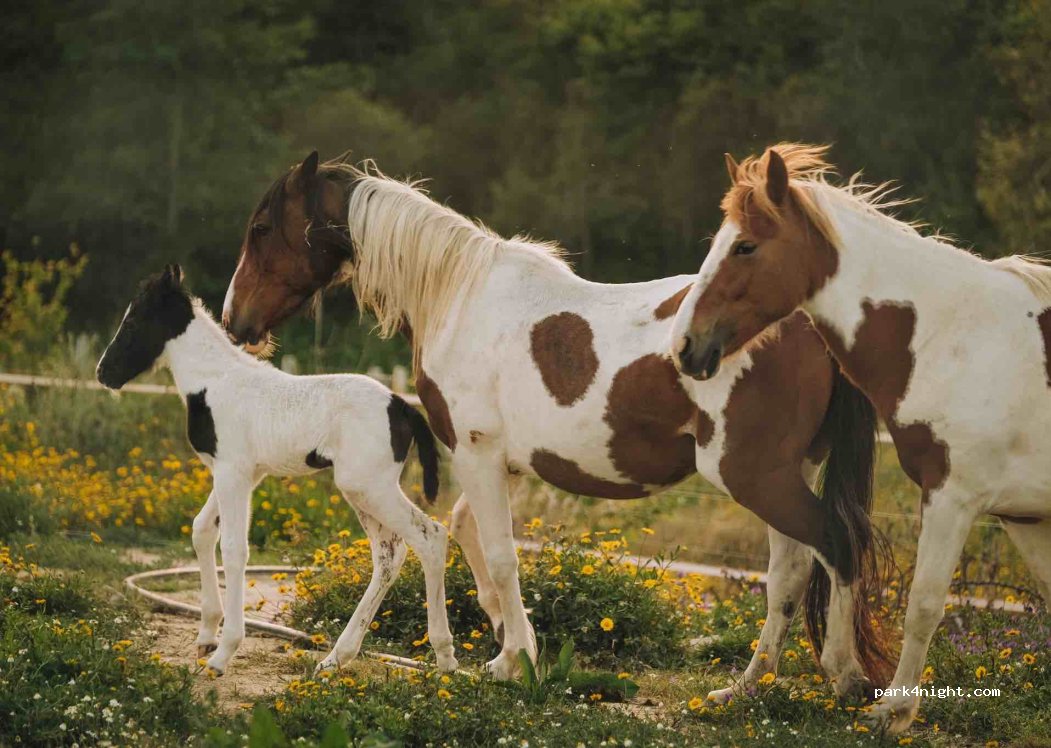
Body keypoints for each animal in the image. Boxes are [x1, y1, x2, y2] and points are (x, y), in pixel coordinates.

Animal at [96, 265, 458, 676]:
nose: (104, 373)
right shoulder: (242, 473)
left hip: (369, 488)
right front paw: (205, 636)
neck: (214, 382)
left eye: (134, 320)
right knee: (388, 555)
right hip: (363, 492)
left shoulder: (232, 473)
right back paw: (336, 659)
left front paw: (223, 654)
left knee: (430, 538)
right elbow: (202, 531)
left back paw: (445, 658)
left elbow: (234, 548)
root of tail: (403, 407)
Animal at [221, 151, 891, 700]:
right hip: (788, 471)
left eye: (261, 229)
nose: (234, 321)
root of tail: (810, 324)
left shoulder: (476, 454)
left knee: (835, 545)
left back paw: (845, 677)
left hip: (754, 475)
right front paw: (508, 650)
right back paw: (747, 686)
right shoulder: (504, 465)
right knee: (790, 572)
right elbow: (470, 537)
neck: (459, 297)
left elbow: (500, 554)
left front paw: (516, 658)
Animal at [671, 142, 1051, 733]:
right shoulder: (1025, 516)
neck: (965, 340)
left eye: (745, 245)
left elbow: (923, 605)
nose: (685, 346)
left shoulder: (952, 498)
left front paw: (893, 712)